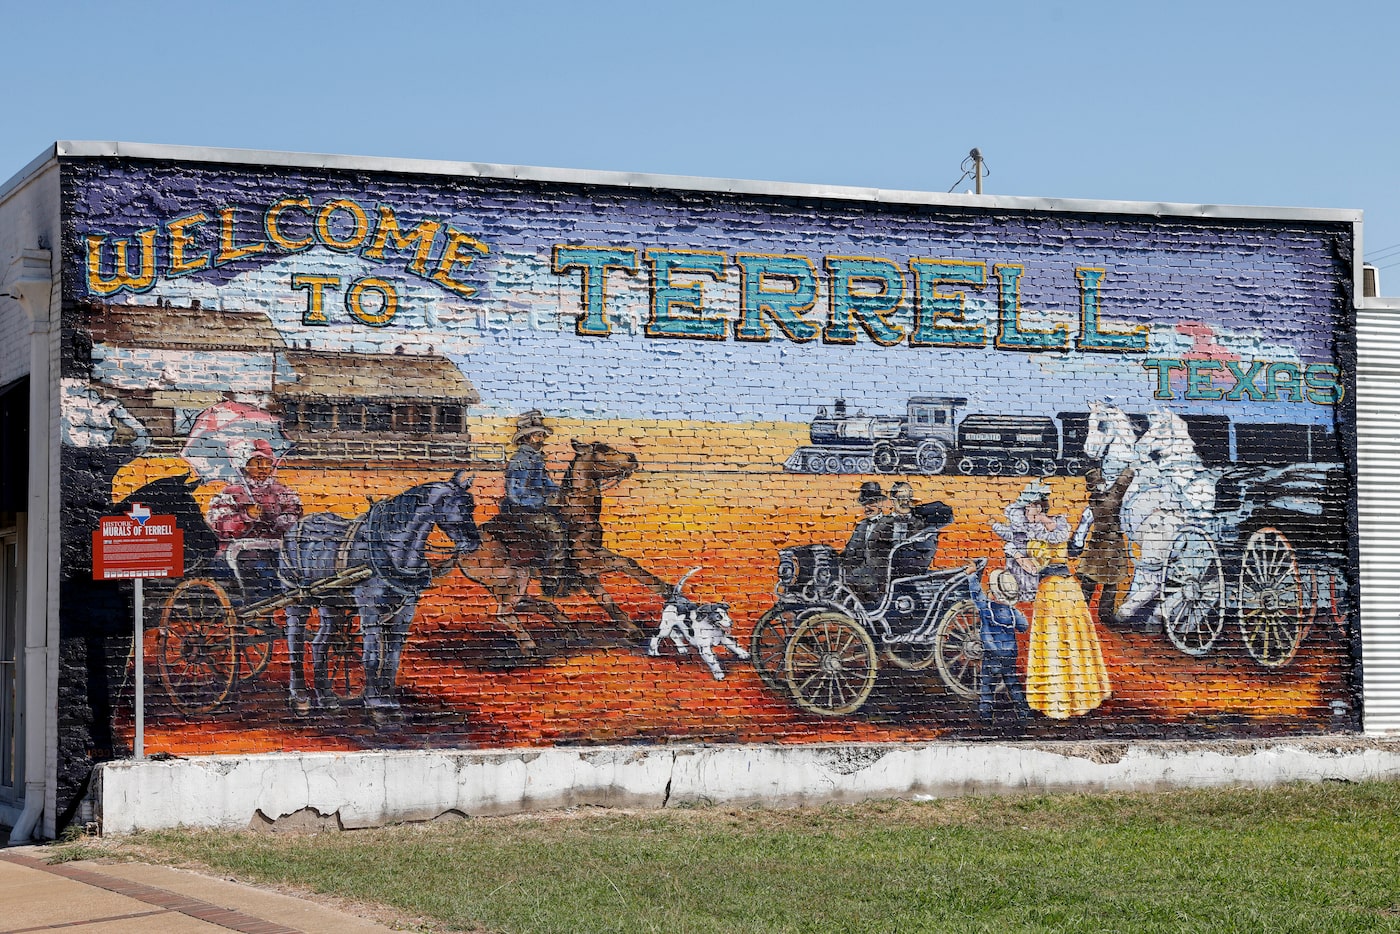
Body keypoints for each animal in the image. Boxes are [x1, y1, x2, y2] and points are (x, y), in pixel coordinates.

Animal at [278, 470, 481, 722]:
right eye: (457, 505)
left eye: (472, 505)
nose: (473, 543)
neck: (393, 552)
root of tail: (296, 525)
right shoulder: (370, 611)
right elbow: (372, 657)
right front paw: (375, 704)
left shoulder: (405, 613)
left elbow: (392, 659)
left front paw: (389, 702)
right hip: (297, 601)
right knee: (295, 642)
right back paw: (300, 698)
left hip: (332, 604)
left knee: (319, 645)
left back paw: (326, 698)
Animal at [456, 439, 669, 649]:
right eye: (602, 449)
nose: (632, 458)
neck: (578, 512)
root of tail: (462, 550)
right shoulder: (586, 561)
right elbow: (625, 562)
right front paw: (666, 590)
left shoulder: (585, 573)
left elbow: (606, 599)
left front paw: (633, 630)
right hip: (513, 580)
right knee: (505, 612)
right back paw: (530, 645)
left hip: (509, 584)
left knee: (530, 604)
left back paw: (568, 629)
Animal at [1080, 406, 1215, 624]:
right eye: (1090, 421)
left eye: (1102, 424)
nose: (1089, 450)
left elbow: (1090, 513)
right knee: (1182, 587)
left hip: (1154, 555)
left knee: (1157, 585)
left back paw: (1127, 612)